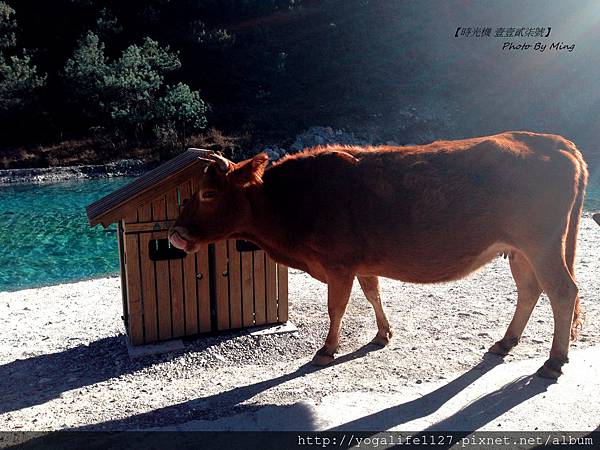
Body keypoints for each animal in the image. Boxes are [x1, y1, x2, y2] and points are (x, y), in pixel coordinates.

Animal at [168, 132, 584, 378]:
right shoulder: (361, 263)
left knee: (563, 292)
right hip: (519, 249)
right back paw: (506, 342)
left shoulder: (338, 264)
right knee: (530, 290)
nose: (174, 234)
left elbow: (336, 307)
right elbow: (373, 294)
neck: (293, 201)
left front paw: (327, 350)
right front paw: (383, 334)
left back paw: (553, 361)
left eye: (208, 193)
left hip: (542, 244)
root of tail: (556, 142)